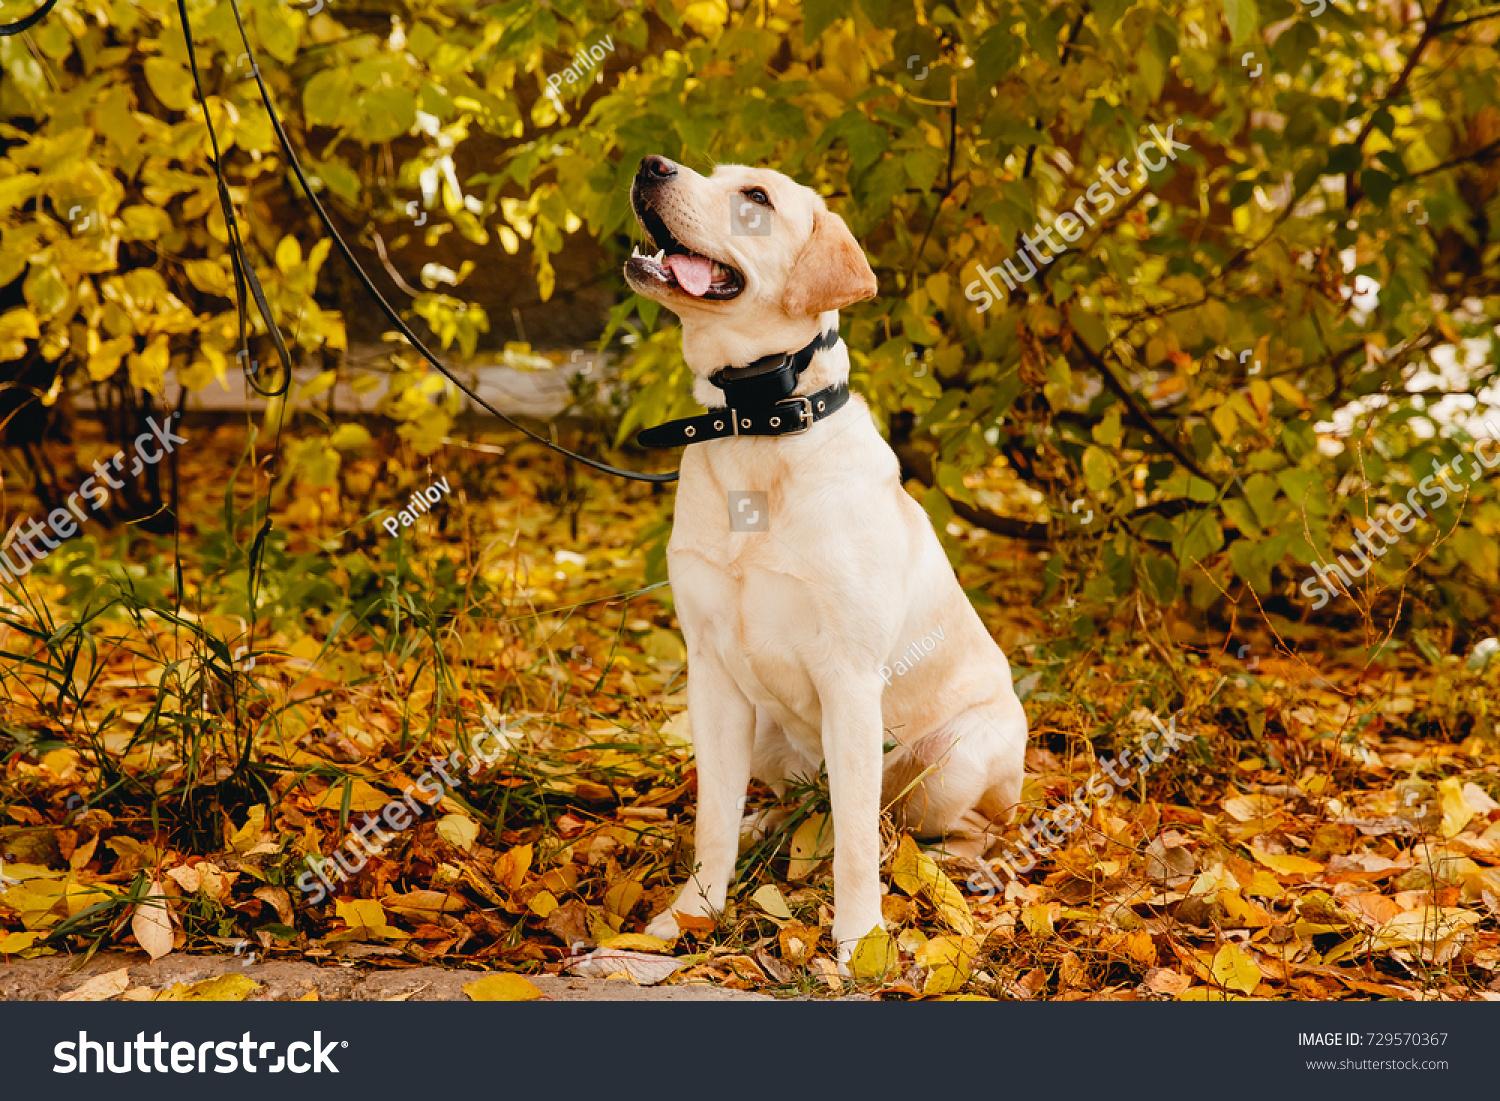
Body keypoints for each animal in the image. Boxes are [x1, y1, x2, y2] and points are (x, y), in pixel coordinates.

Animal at [624, 155, 1032, 960]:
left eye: (754, 196)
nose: (651, 165)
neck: (758, 423)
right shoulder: (710, 672)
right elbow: (711, 819)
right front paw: (690, 915)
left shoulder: (849, 676)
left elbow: (852, 845)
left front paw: (859, 941)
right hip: (768, 730)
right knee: (806, 805)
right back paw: (768, 823)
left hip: (953, 756)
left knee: (934, 825)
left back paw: (958, 863)